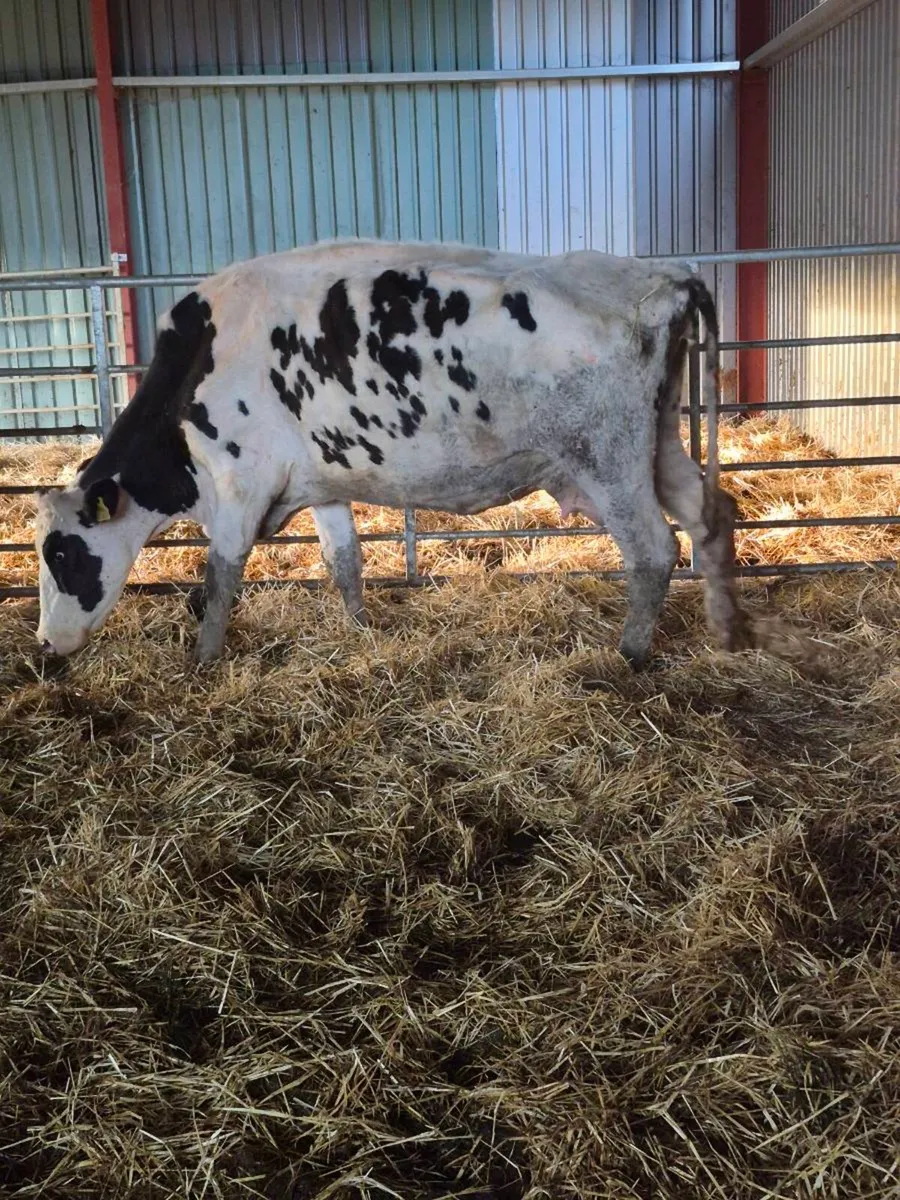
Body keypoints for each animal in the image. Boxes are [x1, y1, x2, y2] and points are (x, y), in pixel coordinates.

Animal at [34, 239, 753, 668]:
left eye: (62, 555)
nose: (45, 644)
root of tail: (658, 272)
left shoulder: (240, 485)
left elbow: (221, 576)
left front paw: (205, 660)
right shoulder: (318, 485)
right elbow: (344, 561)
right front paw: (360, 630)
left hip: (608, 458)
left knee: (654, 549)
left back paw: (628, 656)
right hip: (657, 442)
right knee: (711, 513)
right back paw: (727, 630)